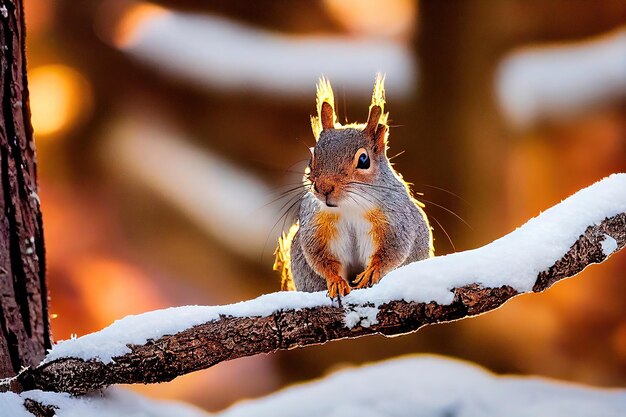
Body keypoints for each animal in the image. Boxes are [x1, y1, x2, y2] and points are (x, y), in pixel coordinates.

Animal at [272, 74, 434, 296]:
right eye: (312, 157)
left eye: (364, 160)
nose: (323, 188)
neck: (350, 206)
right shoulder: (317, 227)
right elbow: (321, 258)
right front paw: (336, 280)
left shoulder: (395, 220)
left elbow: (391, 251)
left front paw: (372, 271)